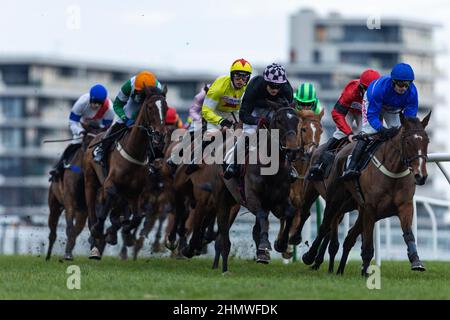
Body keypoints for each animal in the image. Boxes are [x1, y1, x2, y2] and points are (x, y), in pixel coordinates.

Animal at [83, 85, 168, 260]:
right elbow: (107, 206)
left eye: (166, 107)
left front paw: (123, 232)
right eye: (150, 107)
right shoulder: (109, 183)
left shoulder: (136, 193)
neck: (134, 151)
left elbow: (137, 218)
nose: (160, 135)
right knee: (93, 213)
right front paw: (100, 230)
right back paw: (95, 244)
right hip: (90, 181)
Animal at [302, 112, 428, 276]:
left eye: (427, 141)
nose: (421, 175)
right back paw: (309, 256)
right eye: (407, 142)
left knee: (348, 237)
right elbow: (367, 245)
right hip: (330, 199)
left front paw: (416, 261)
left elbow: (408, 234)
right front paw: (366, 272)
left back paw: (338, 269)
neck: (393, 172)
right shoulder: (370, 209)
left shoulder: (404, 206)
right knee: (322, 225)